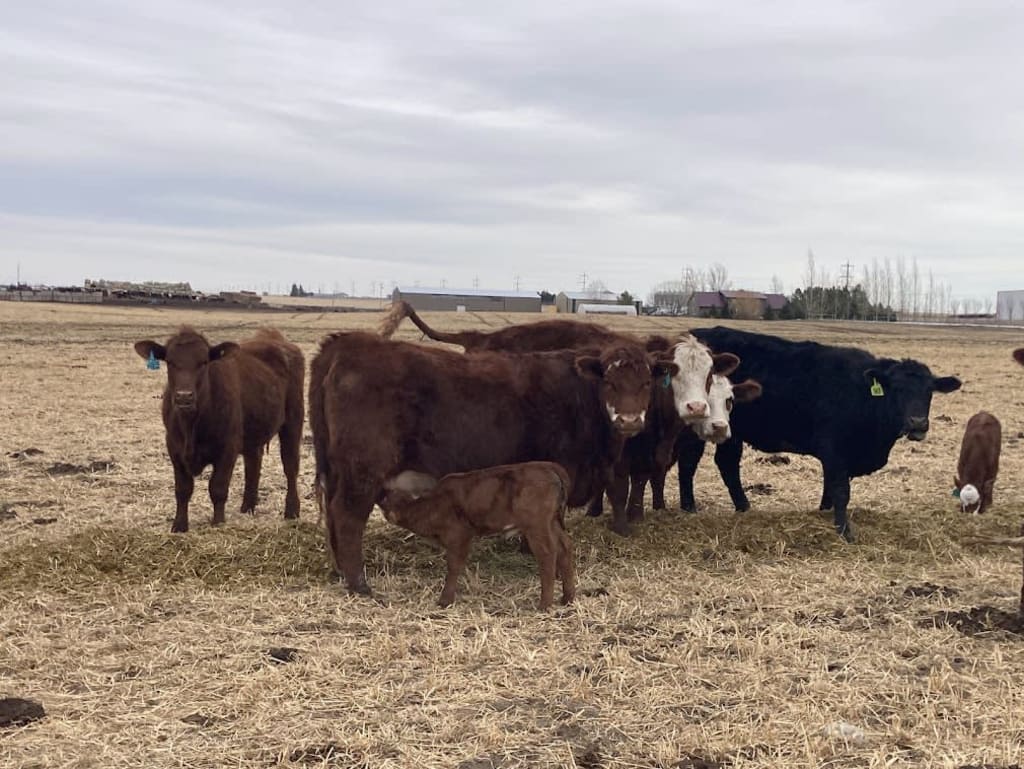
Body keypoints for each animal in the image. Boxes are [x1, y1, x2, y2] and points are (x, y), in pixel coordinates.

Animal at [134, 327, 304, 533]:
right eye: (170, 362)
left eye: (203, 362)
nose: (184, 396)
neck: (191, 426)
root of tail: (273, 337)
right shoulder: (174, 449)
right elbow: (182, 490)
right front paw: (179, 525)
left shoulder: (227, 449)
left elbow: (218, 488)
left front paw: (218, 522)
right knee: (253, 464)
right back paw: (247, 507)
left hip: (293, 421)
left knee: (290, 466)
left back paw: (292, 510)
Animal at [379, 462, 575, 609]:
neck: (432, 506)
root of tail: (549, 467)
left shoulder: (459, 535)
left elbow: (454, 566)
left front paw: (445, 600)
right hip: (552, 522)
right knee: (564, 547)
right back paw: (568, 598)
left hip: (537, 525)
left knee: (547, 553)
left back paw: (544, 605)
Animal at [676, 326, 962, 541]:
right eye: (898, 389)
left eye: (929, 391)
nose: (917, 422)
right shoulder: (834, 450)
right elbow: (840, 490)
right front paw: (844, 532)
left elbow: (830, 489)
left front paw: (825, 514)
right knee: (689, 463)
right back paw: (690, 508)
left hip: (732, 432)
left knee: (726, 464)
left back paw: (744, 507)